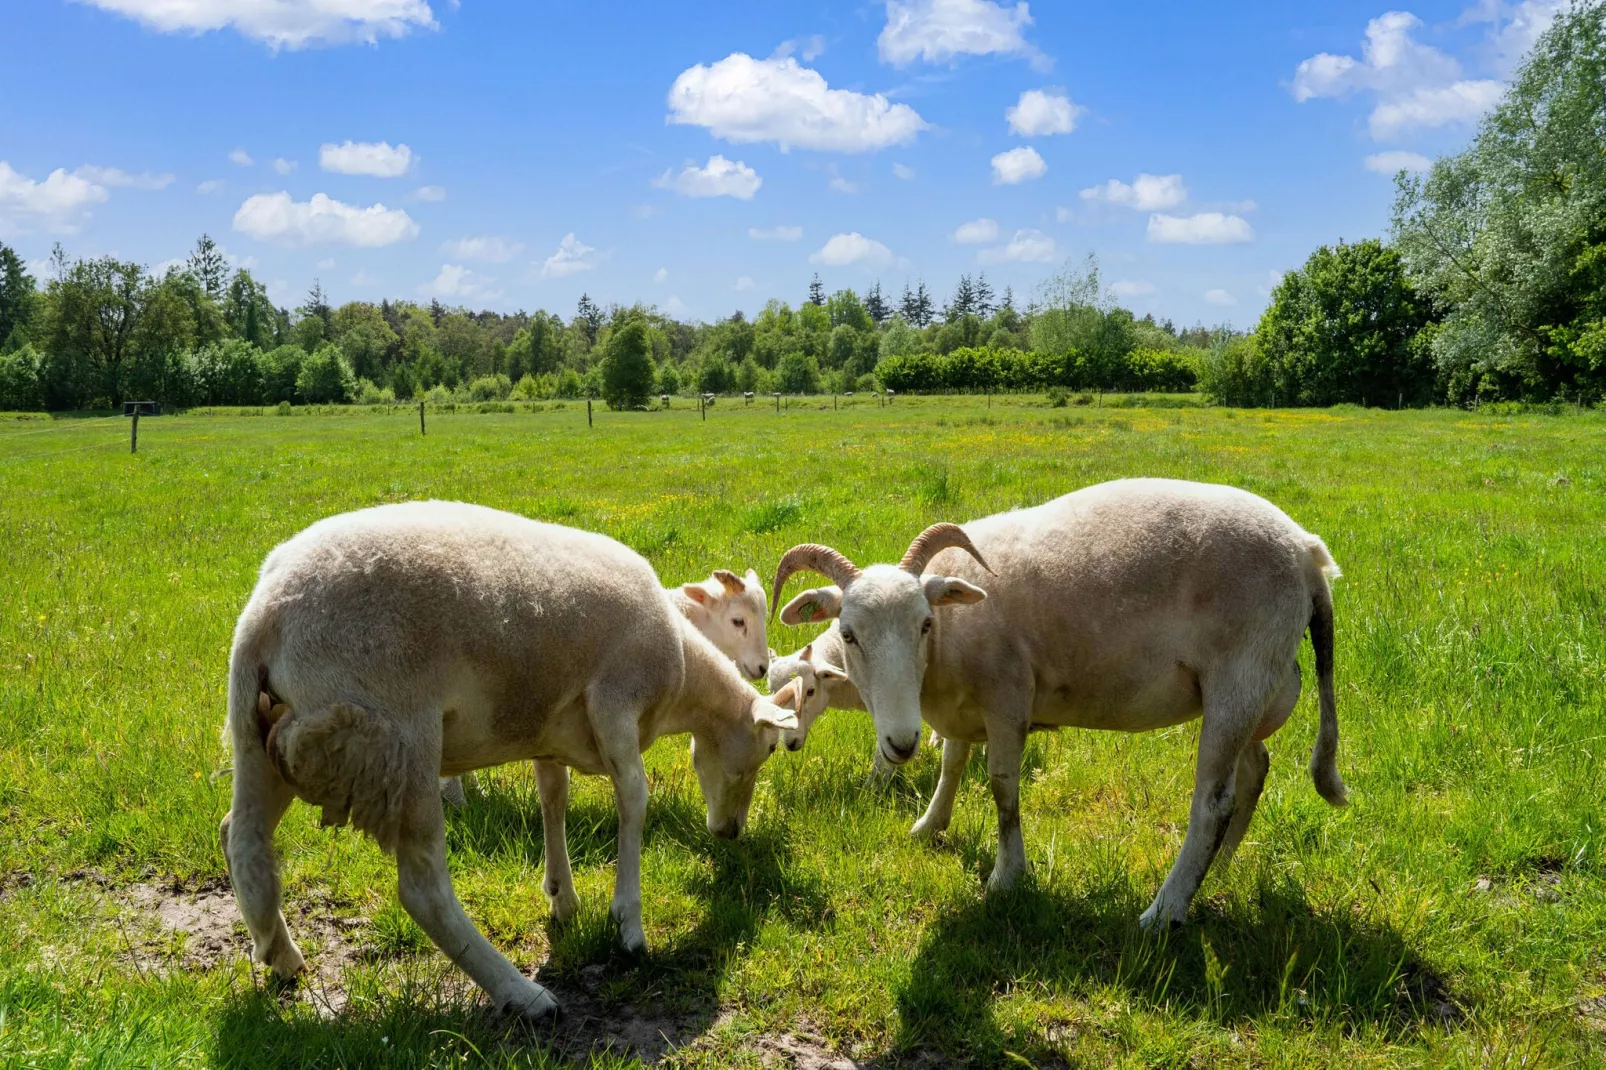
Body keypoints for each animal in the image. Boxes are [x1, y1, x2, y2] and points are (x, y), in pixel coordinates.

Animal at [221, 501, 803, 1015]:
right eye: (768, 749)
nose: (730, 833)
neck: (682, 672)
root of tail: (263, 616)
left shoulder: (549, 728)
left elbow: (554, 797)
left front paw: (562, 897)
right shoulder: (615, 701)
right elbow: (634, 800)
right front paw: (629, 926)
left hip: (273, 736)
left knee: (242, 838)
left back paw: (280, 955)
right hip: (394, 737)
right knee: (423, 888)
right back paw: (521, 994)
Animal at [770, 475, 1349, 925]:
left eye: (924, 624)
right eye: (849, 635)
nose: (900, 742)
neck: (949, 640)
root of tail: (1307, 552)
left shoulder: (1007, 696)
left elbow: (1002, 787)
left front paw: (1007, 876)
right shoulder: (963, 706)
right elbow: (952, 765)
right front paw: (929, 827)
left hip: (1240, 678)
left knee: (1213, 802)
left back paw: (1165, 910)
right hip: (1258, 688)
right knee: (1254, 771)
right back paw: (1221, 870)